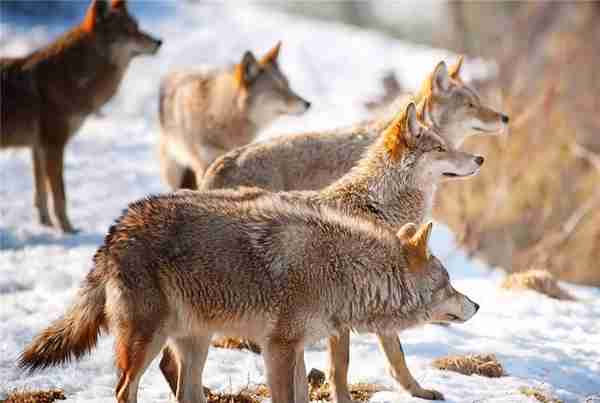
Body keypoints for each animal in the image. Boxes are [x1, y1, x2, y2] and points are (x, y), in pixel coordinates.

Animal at [0, 0, 162, 234]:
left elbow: (41, 193)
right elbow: (59, 195)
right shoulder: (53, 145)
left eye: (137, 27)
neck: (70, 76)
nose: (159, 42)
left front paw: (47, 226)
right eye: (128, 30)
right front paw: (67, 230)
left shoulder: (38, 147)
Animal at [16, 189, 480, 403]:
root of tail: (115, 229)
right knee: (123, 390)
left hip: (195, 342)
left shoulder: (295, 349)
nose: (476, 304)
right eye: (449, 282)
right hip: (146, 340)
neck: (340, 268)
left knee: (186, 393)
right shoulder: (277, 347)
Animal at [156, 103, 482, 400]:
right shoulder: (347, 314)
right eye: (440, 148)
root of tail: (221, 163)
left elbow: (397, 357)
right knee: (169, 362)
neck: (375, 209)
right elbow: (343, 366)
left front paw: (419, 391)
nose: (480, 158)